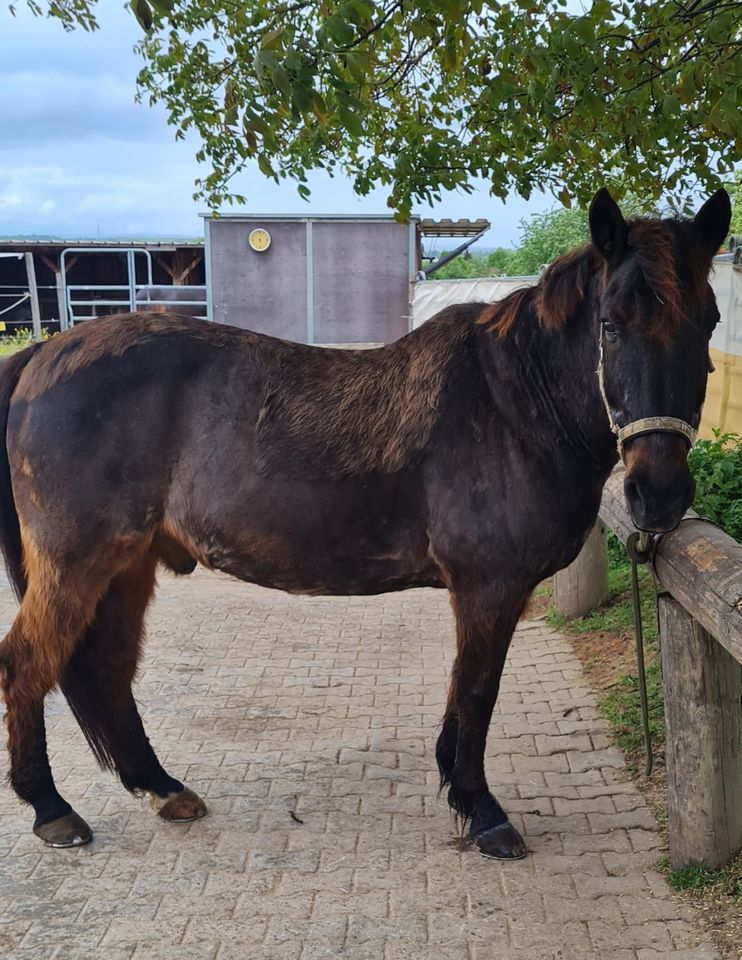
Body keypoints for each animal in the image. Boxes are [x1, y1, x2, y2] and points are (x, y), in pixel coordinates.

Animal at [0, 186, 732, 856]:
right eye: (610, 325)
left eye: (708, 321)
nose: (659, 492)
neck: (511, 403)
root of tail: (41, 356)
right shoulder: (489, 587)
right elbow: (477, 691)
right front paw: (483, 812)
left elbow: (460, 695)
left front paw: (456, 787)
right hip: (77, 565)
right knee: (26, 664)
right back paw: (52, 810)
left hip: (126, 568)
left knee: (108, 672)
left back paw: (161, 787)